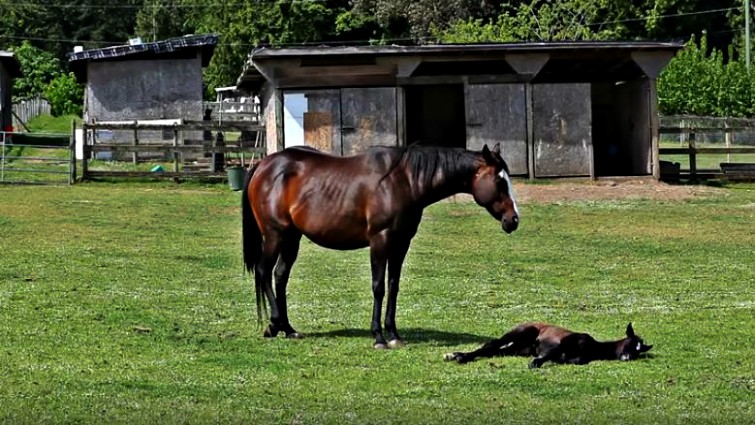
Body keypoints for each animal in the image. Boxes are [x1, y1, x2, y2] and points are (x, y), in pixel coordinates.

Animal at [242, 143, 520, 349]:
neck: (402, 181)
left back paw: (288, 329)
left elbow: (393, 287)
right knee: (264, 272)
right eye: (499, 182)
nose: (513, 220)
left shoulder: (401, 244)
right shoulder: (380, 241)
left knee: (280, 276)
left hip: (292, 238)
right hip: (275, 235)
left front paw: (394, 334)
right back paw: (273, 324)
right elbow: (378, 287)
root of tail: (263, 165)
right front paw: (378, 337)